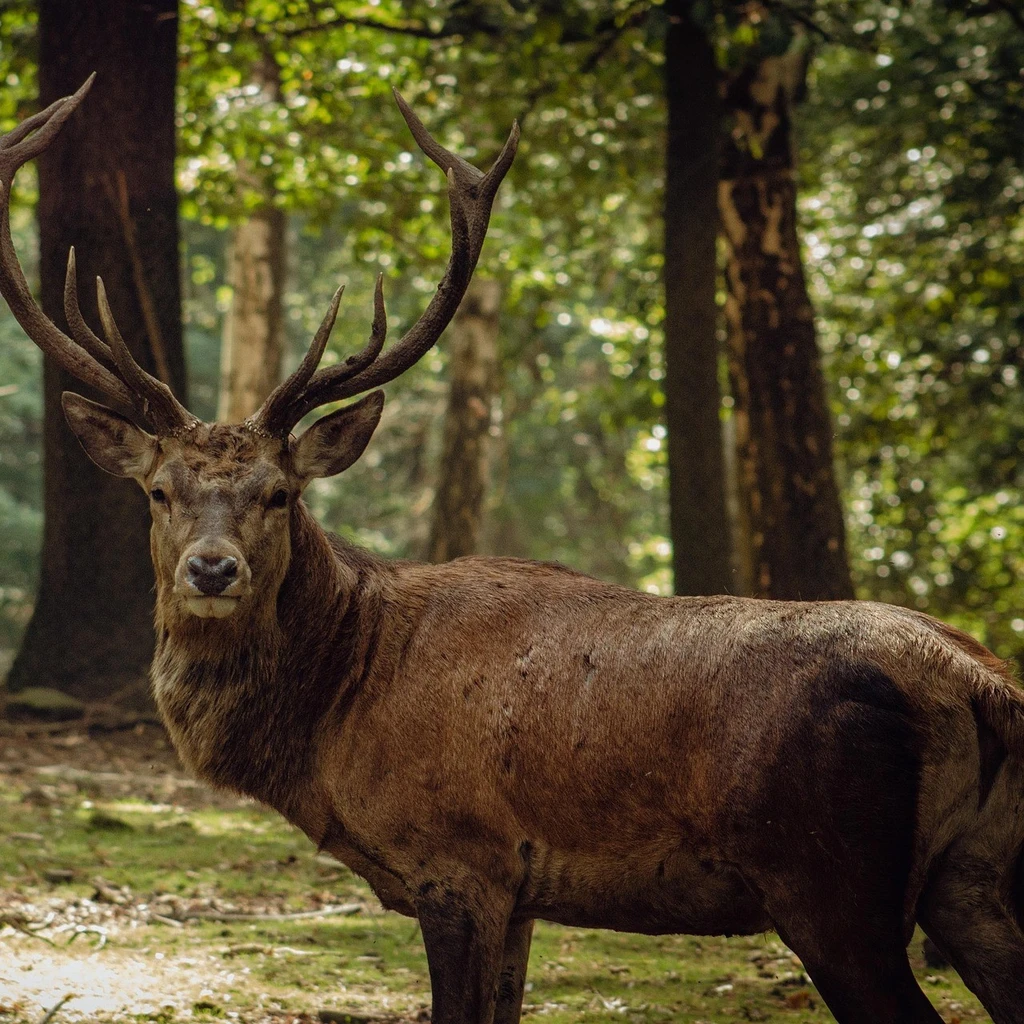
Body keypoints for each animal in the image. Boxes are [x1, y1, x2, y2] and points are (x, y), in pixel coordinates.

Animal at [2, 77, 1024, 1024]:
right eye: (159, 491)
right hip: (974, 879)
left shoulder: (459, 860)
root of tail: (980, 684)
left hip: (831, 882)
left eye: (279, 495)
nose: (212, 569)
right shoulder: (526, 894)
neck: (337, 715)